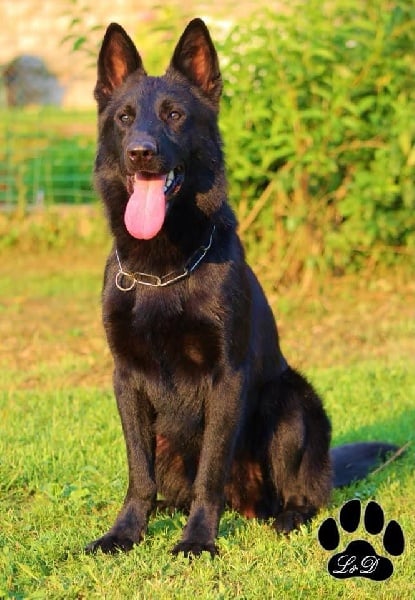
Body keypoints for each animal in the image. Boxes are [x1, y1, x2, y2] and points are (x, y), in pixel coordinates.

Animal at [85, 19, 398, 557]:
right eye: (124, 118)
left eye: (174, 115)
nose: (140, 152)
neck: (165, 270)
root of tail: (245, 504)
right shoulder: (126, 378)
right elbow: (138, 473)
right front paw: (126, 532)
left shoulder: (226, 377)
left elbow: (210, 471)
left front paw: (198, 541)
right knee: (168, 485)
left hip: (290, 403)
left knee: (298, 494)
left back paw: (287, 517)